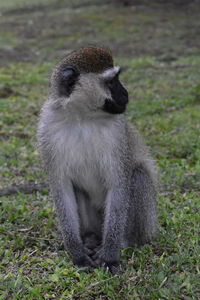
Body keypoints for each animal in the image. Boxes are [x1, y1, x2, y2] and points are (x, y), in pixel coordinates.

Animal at [37, 45, 158, 274]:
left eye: (117, 78)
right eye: (111, 82)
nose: (125, 93)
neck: (83, 118)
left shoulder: (117, 134)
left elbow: (118, 185)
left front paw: (110, 256)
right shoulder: (47, 131)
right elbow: (62, 189)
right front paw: (77, 254)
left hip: (147, 224)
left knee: (138, 177)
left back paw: (124, 241)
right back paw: (90, 239)